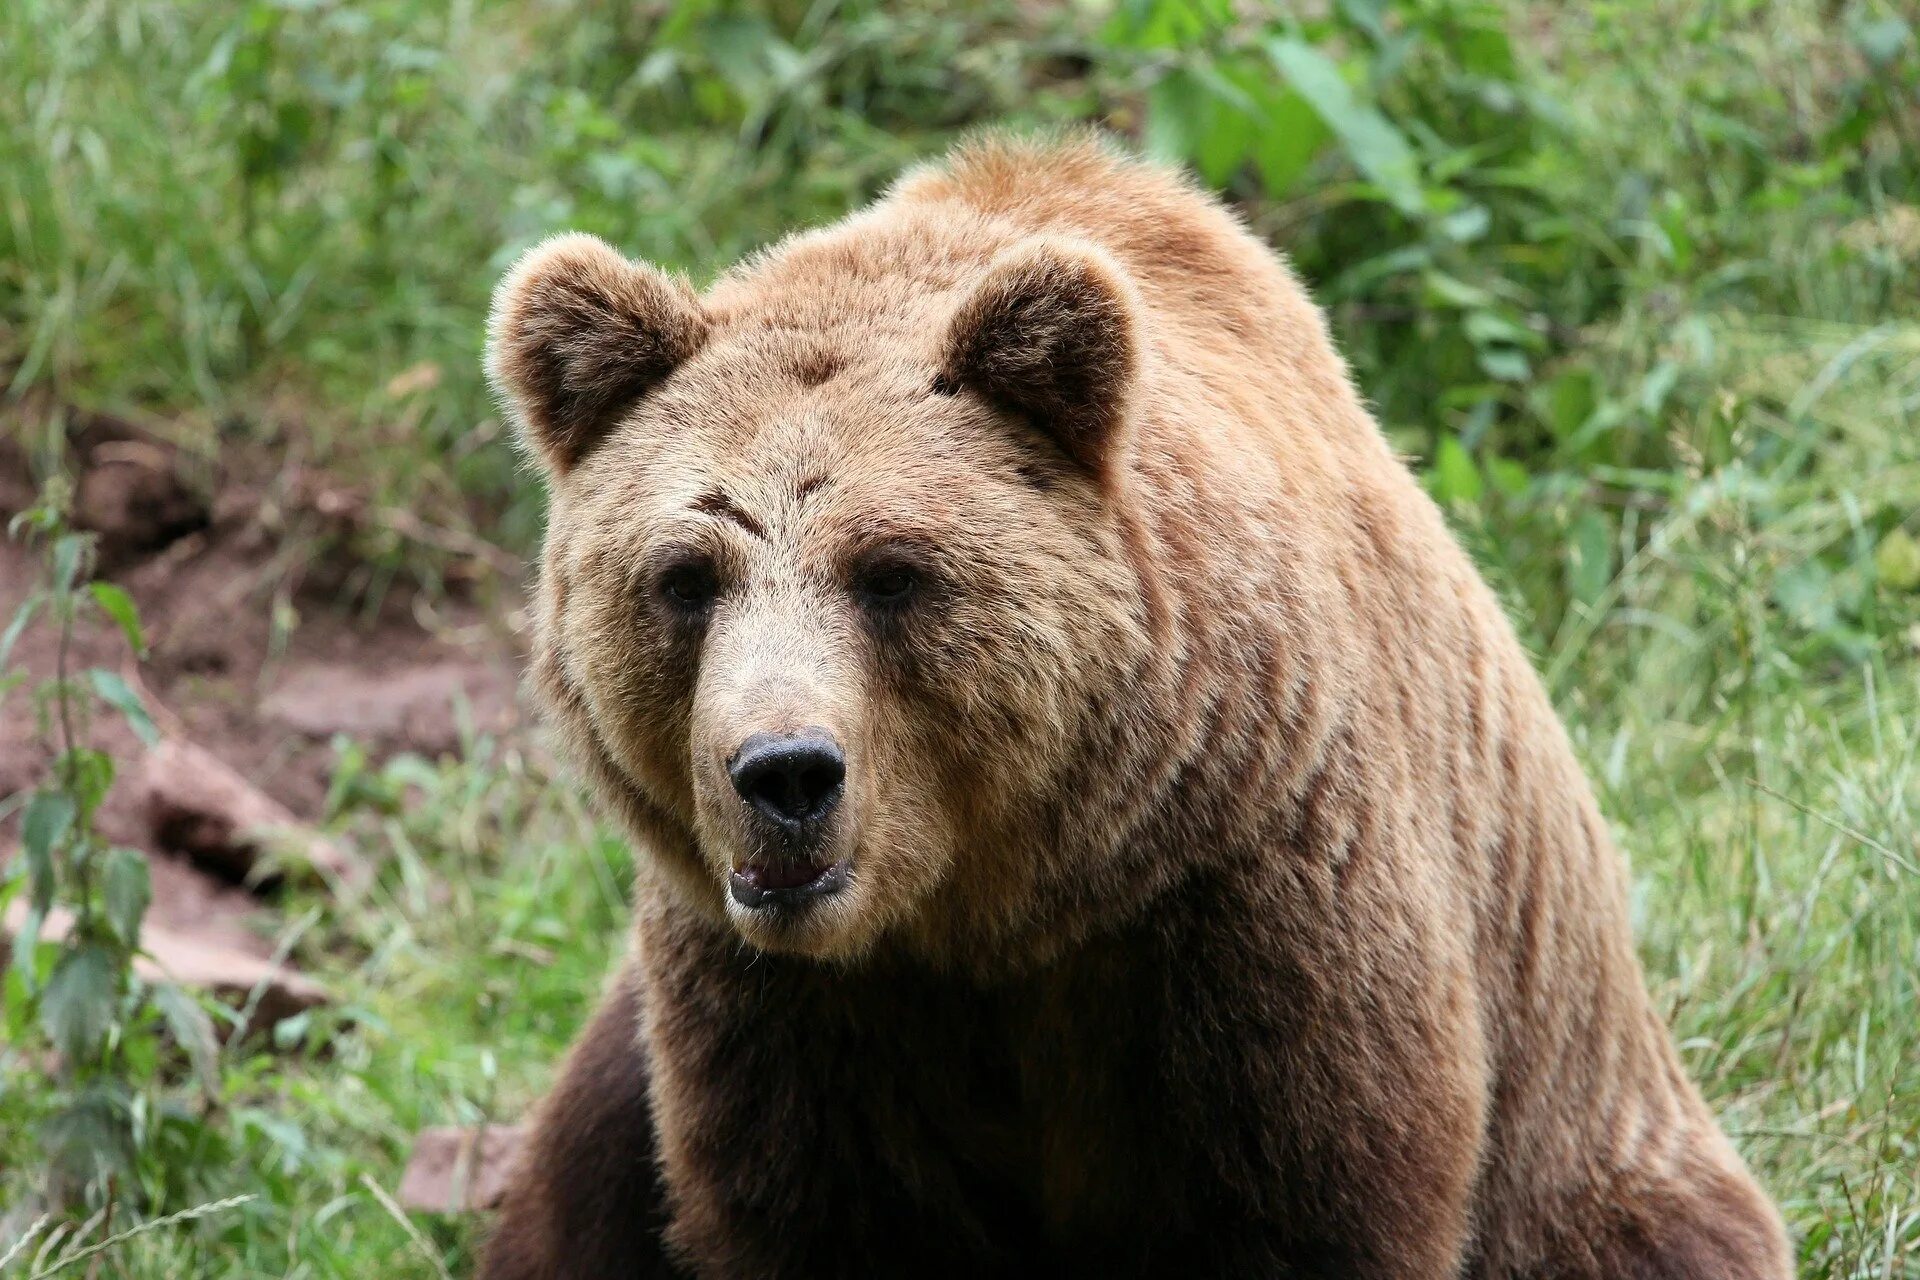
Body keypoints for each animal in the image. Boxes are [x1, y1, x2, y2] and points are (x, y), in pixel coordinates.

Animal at [472, 135, 1789, 1274]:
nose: (784, 770)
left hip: (1593, 1138)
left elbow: (1301, 1199)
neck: (1002, 899)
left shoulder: (1245, 896)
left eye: (891, 569)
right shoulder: (786, 1008)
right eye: (686, 575)